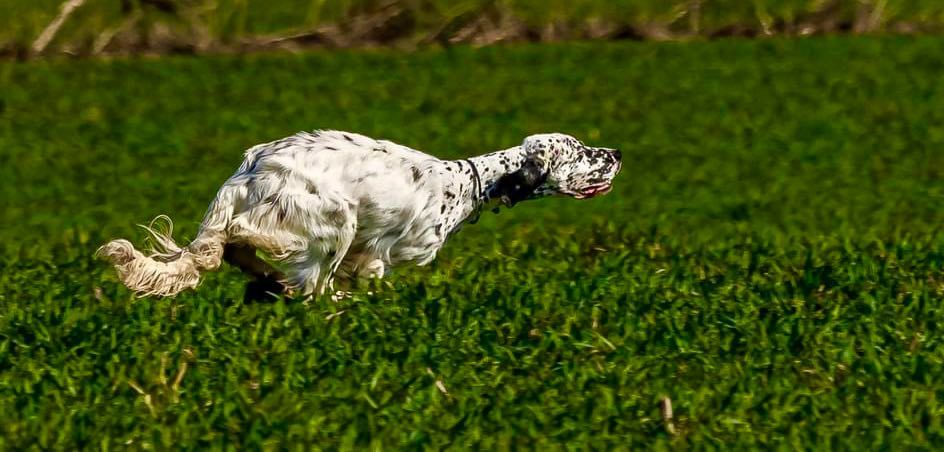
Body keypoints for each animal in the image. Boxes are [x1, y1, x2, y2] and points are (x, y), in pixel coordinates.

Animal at [99, 130, 624, 300]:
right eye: (580, 151)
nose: (617, 152)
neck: (467, 182)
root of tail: (247, 171)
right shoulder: (380, 250)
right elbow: (365, 272)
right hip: (336, 218)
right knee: (299, 275)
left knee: (233, 253)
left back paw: (269, 281)